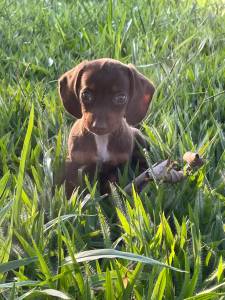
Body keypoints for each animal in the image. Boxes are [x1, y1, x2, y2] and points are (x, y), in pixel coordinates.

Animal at [58, 57, 155, 198]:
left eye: (121, 98)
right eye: (85, 95)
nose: (99, 126)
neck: (102, 139)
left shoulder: (117, 166)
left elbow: (112, 185)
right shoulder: (74, 163)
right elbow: (71, 187)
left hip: (139, 138)